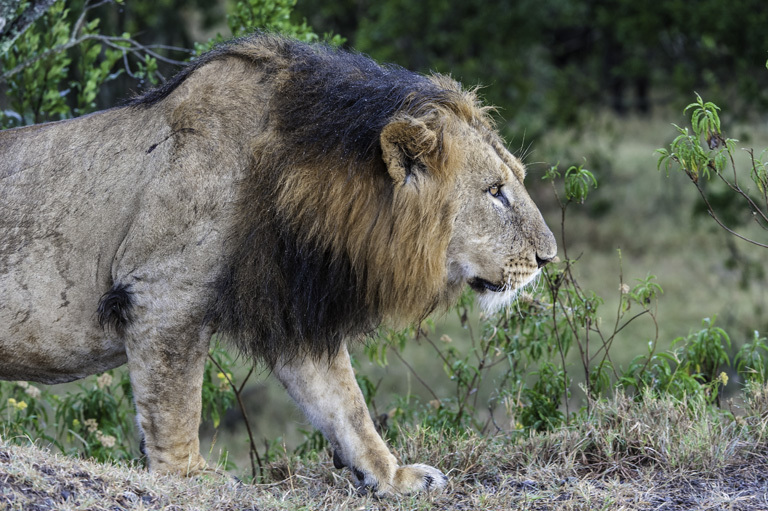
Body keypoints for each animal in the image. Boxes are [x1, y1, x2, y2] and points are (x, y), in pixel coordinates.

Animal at [0, 33, 552, 496]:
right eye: (495, 191)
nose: (548, 257)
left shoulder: (292, 310)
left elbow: (346, 406)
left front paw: (395, 478)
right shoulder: (162, 294)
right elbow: (176, 403)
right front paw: (189, 476)